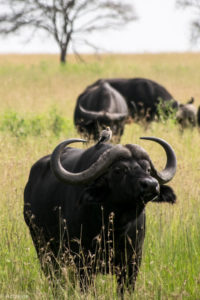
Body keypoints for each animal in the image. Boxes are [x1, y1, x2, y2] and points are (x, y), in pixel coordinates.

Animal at [23, 137, 177, 294]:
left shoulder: (133, 262)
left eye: (148, 169)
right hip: (43, 247)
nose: (151, 184)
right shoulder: (83, 262)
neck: (114, 229)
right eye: (118, 170)